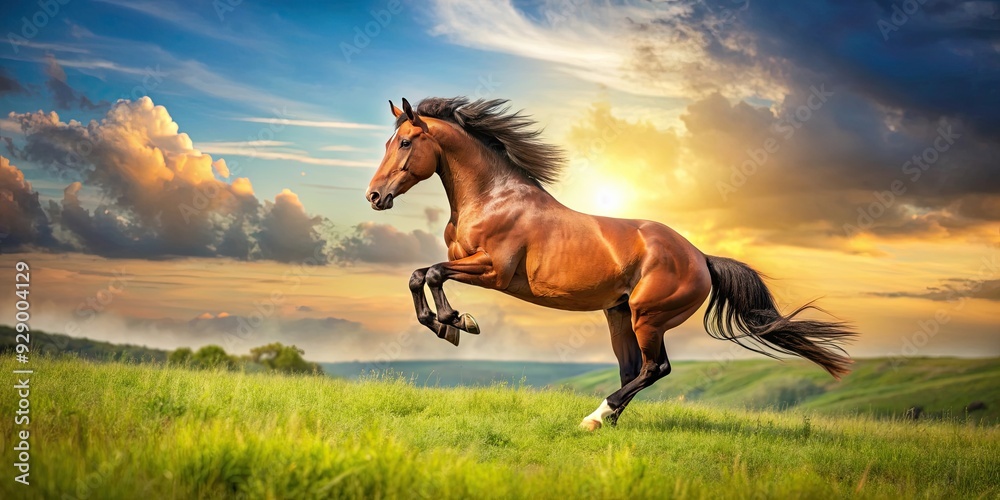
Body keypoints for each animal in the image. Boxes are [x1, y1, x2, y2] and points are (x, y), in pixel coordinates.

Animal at [365, 97, 856, 430]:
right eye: (387, 142)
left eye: (405, 142)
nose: (374, 196)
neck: (494, 198)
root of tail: (701, 257)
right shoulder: (470, 265)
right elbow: (418, 275)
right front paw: (446, 325)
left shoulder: (494, 270)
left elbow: (430, 273)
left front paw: (457, 321)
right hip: (619, 315)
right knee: (633, 370)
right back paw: (607, 420)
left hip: (647, 316)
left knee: (654, 369)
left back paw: (597, 416)